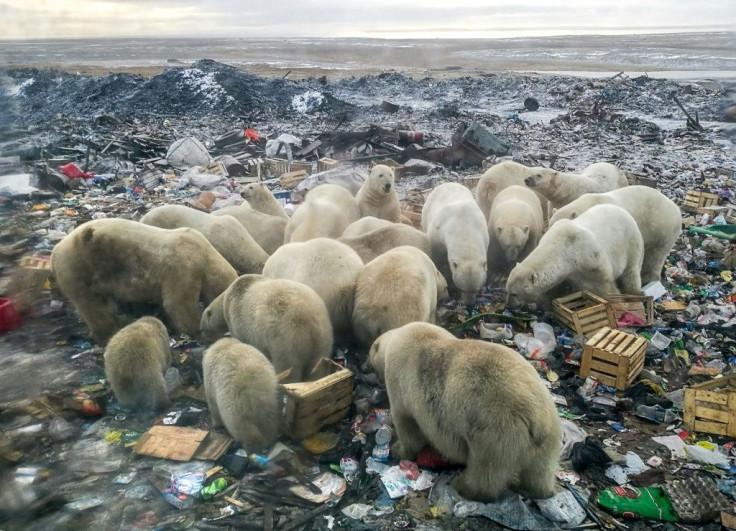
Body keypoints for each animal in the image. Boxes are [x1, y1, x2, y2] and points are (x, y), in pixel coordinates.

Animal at [51, 218, 237, 345]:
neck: (206, 253)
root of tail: (55, 251)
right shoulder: (184, 266)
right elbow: (178, 304)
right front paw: (199, 331)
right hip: (80, 268)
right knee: (94, 306)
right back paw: (111, 331)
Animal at [200, 275, 333, 383]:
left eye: (202, 330)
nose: (204, 341)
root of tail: (309, 321)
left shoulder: (238, 323)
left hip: (285, 339)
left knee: (288, 367)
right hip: (324, 336)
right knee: (317, 365)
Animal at [368, 322, 561, 501]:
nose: (366, 368)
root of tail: (535, 418)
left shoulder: (400, 380)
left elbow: (408, 425)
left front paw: (397, 449)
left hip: (496, 433)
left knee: (486, 470)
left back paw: (464, 486)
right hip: (548, 436)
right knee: (540, 470)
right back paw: (539, 490)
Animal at [506, 204, 644, 309]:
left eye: (514, 294)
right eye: (507, 290)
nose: (508, 305)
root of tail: (622, 210)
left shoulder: (592, 261)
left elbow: (605, 286)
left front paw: (618, 304)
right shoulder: (568, 273)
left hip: (631, 243)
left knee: (631, 272)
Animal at [548, 186, 682, 284]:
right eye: (549, 227)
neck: (589, 204)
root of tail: (677, 209)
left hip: (663, 227)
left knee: (656, 255)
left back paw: (647, 277)